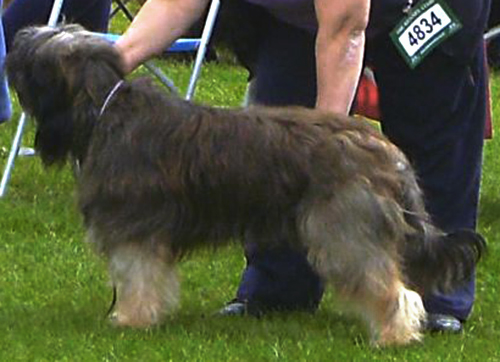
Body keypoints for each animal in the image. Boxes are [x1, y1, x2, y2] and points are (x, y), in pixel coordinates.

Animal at [5, 24, 486, 346]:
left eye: (34, 53)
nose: (15, 41)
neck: (102, 108)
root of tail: (382, 147)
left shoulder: (134, 231)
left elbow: (137, 276)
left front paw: (130, 320)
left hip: (345, 233)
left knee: (392, 288)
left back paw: (394, 335)